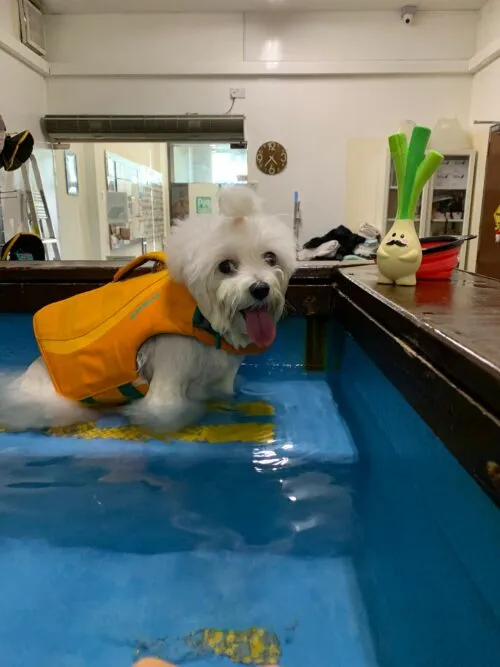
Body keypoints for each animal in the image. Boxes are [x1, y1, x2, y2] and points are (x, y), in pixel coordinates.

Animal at [0, 188, 296, 436]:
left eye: (270, 258)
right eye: (225, 266)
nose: (260, 288)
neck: (204, 324)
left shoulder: (223, 382)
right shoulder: (168, 380)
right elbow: (166, 412)